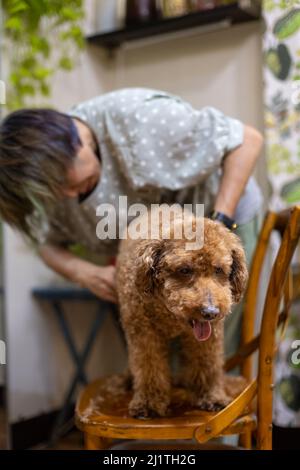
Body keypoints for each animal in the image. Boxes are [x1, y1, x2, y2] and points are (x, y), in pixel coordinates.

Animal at [116, 207, 247, 416]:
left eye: (218, 269)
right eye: (184, 270)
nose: (210, 312)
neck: (170, 315)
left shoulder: (209, 337)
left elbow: (207, 364)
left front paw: (211, 396)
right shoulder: (144, 333)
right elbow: (148, 366)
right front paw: (149, 403)